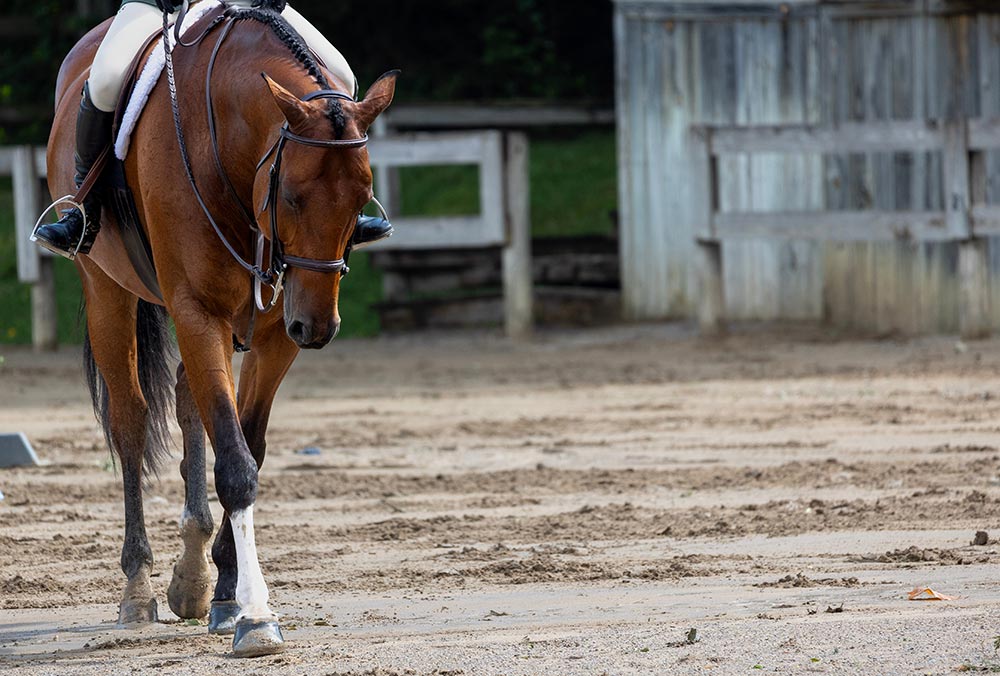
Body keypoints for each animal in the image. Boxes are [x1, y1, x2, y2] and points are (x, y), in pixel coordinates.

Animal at [46, 2, 396, 657]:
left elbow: (246, 445)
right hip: (105, 289)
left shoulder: (272, 332)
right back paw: (138, 587)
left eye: (362, 194)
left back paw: (192, 576)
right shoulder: (197, 312)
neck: (228, 146)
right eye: (292, 195)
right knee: (130, 423)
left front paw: (229, 591)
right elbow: (234, 465)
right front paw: (256, 617)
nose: (318, 327)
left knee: (189, 401)